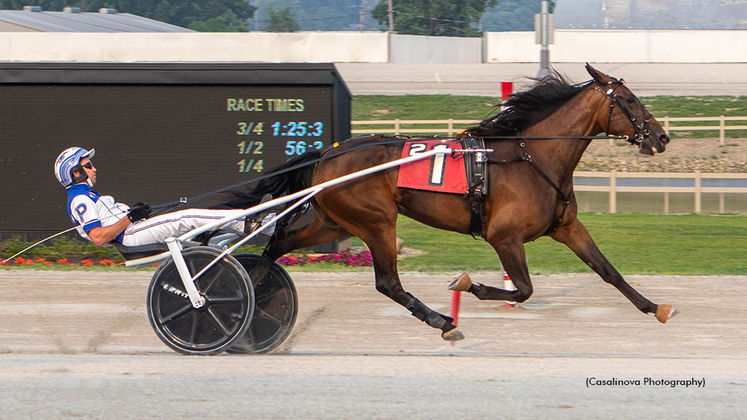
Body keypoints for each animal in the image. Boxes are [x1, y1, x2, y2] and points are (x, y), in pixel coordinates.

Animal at [228, 65, 676, 342]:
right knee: (388, 283)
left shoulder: (566, 227)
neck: (533, 157)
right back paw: (443, 321)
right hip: (376, 222)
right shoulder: (504, 236)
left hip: (334, 221)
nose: (661, 137)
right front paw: (466, 285)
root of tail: (328, 153)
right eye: (630, 100)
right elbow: (523, 290)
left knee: (278, 244)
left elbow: (608, 271)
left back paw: (249, 297)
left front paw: (655, 307)